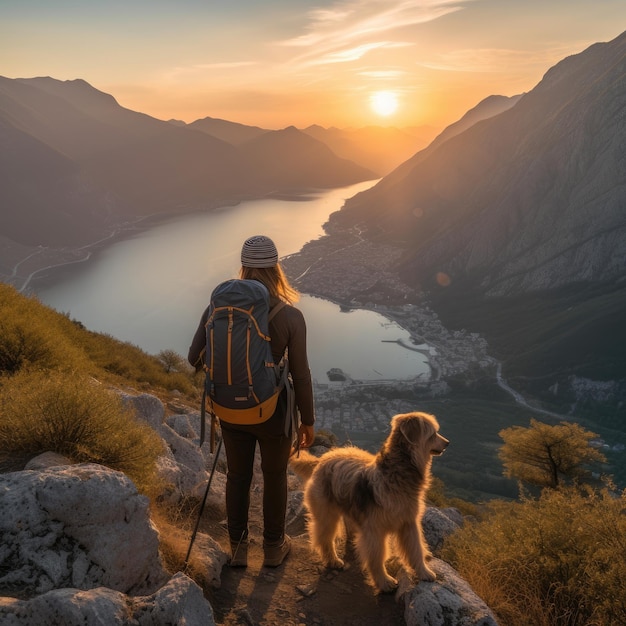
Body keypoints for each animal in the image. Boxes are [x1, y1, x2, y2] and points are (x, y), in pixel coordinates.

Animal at [290, 410, 446, 588]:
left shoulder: (409, 523)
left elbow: (416, 549)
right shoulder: (375, 530)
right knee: (325, 537)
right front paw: (384, 581)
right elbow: (377, 556)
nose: (447, 443)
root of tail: (323, 459)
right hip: (326, 513)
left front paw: (423, 571)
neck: (396, 472)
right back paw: (332, 559)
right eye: (433, 434)